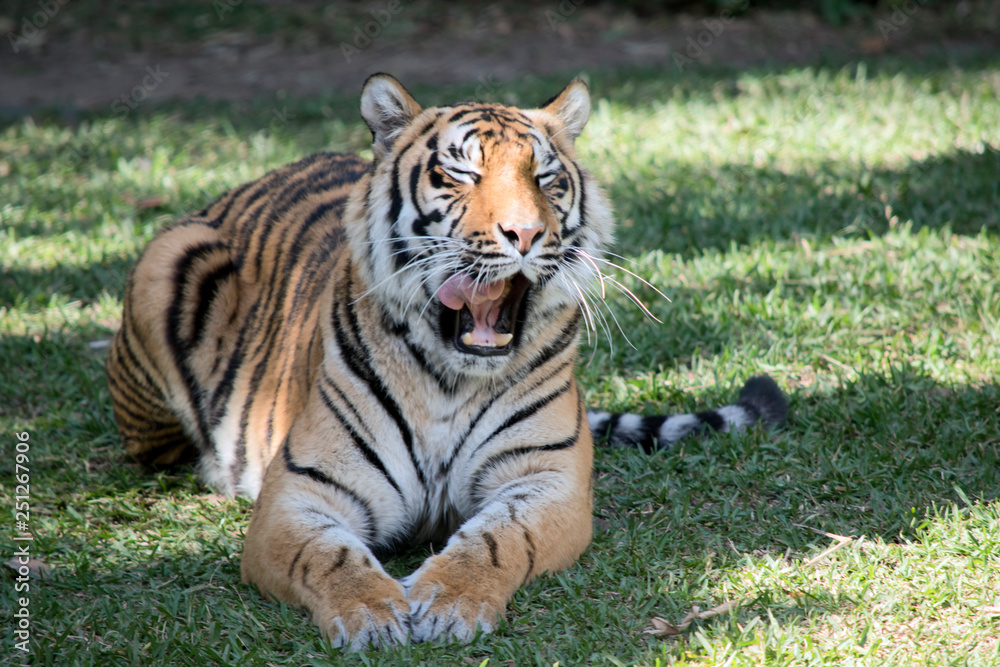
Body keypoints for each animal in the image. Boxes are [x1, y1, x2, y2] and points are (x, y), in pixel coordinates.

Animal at [103, 74, 788, 652]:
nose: (525, 235)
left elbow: (497, 540)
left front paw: (447, 601)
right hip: (167, 263)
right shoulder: (298, 493)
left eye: (545, 178)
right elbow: (329, 556)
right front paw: (371, 613)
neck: (450, 380)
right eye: (460, 174)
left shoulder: (549, 481)